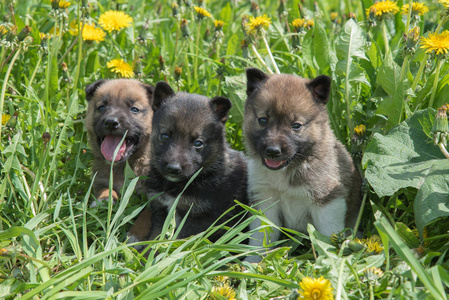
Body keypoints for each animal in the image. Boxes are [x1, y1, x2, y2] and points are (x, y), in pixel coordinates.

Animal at [242, 69, 360, 262]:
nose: (273, 151)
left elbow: (327, 234)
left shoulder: (327, 201)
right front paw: (253, 260)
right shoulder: (265, 201)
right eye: (263, 120)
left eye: (296, 126)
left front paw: (329, 259)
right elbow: (261, 236)